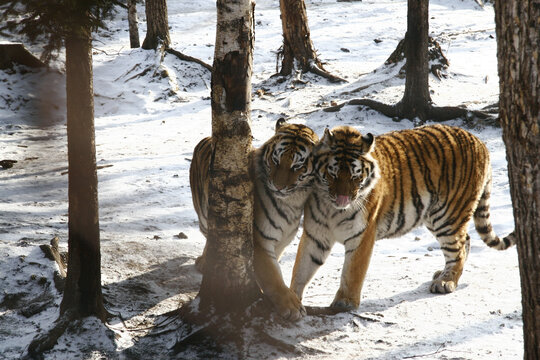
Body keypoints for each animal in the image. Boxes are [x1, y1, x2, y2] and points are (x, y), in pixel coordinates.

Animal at [190, 119, 318, 320]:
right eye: (275, 160)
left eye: (297, 166)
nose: (278, 187)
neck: (292, 202)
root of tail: (206, 138)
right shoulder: (259, 239)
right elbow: (271, 274)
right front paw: (292, 306)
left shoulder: (282, 241)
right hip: (203, 216)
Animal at [288, 124, 516, 312]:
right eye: (332, 173)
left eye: (355, 176)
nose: (343, 199)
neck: (332, 209)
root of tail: (479, 142)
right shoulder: (316, 234)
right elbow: (301, 268)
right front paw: (291, 299)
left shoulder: (362, 235)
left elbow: (352, 271)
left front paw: (345, 303)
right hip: (436, 216)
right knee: (466, 240)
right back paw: (442, 274)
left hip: (447, 216)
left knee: (458, 248)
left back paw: (445, 282)